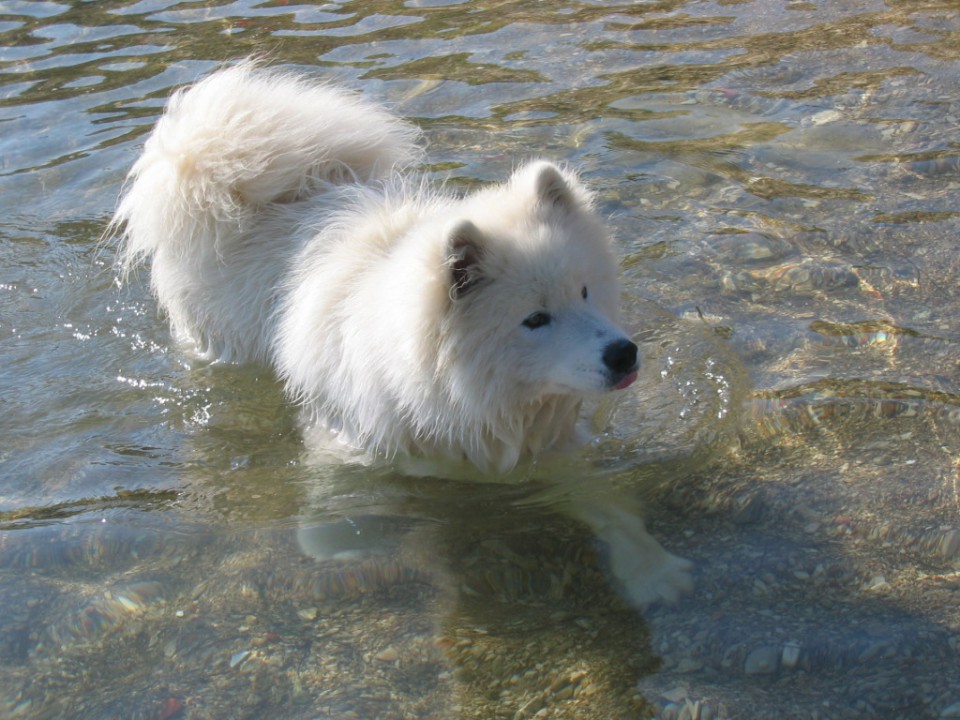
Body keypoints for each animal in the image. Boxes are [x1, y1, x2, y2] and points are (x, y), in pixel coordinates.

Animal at [112, 60, 692, 608]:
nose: (624, 354)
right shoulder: (349, 443)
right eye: (535, 319)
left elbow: (609, 504)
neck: (464, 394)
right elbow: (339, 516)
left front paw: (652, 569)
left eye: (586, 291)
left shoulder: (548, 450)